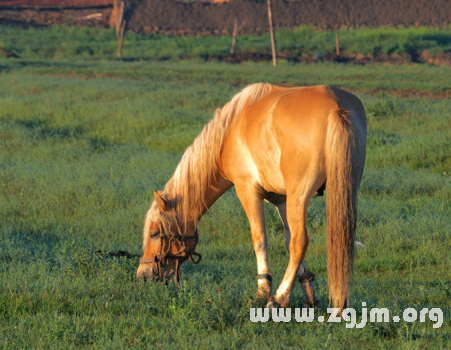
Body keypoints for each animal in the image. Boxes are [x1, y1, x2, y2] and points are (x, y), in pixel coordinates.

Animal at [138, 83, 368, 310]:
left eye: (154, 234)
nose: (143, 276)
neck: (226, 135)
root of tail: (336, 107)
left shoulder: (247, 190)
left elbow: (260, 239)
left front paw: (264, 290)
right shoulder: (282, 200)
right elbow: (287, 239)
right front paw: (309, 293)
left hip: (300, 196)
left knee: (300, 241)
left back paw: (279, 297)